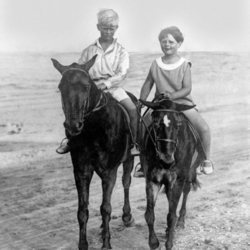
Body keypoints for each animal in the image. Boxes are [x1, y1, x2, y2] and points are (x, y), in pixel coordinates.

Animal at [51, 55, 136, 250]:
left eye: (86, 86)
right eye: (60, 87)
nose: (73, 126)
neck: (94, 129)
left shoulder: (109, 172)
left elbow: (105, 208)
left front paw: (106, 244)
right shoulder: (81, 171)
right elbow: (83, 210)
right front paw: (83, 244)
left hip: (129, 159)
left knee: (126, 182)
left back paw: (127, 216)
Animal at [140, 97, 204, 250]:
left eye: (178, 125)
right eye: (155, 123)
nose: (166, 161)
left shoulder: (177, 180)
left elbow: (171, 216)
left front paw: (169, 243)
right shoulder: (152, 180)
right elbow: (149, 214)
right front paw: (153, 243)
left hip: (189, 173)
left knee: (185, 192)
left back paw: (180, 222)